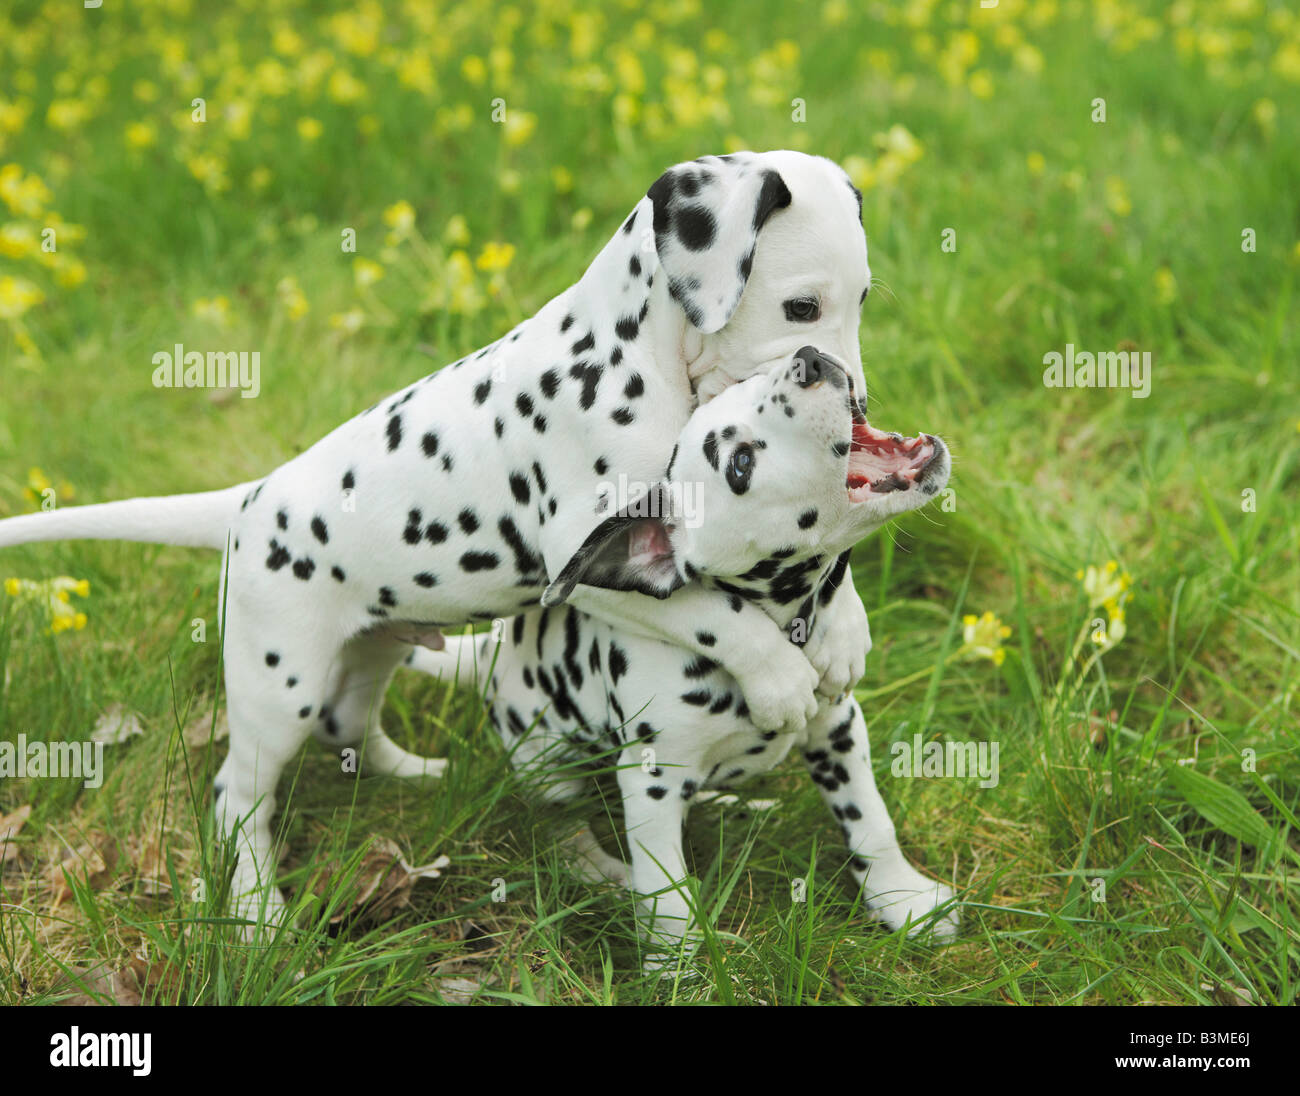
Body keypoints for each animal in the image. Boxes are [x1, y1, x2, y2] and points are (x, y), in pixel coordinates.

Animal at [0, 152, 883, 925]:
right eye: (801, 308)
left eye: (865, 299)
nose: (855, 398)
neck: (633, 361)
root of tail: (246, 501)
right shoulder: (592, 559)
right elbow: (713, 612)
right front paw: (779, 676)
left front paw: (842, 631)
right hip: (277, 686)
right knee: (237, 798)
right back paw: (257, 911)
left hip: (375, 645)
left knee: (348, 721)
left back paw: (416, 778)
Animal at [405, 345, 956, 967]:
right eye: (739, 463)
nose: (810, 358)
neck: (781, 629)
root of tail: (486, 655)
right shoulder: (651, 782)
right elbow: (664, 889)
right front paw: (678, 965)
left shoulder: (839, 730)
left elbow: (870, 821)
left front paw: (902, 899)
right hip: (545, 763)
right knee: (562, 827)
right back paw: (597, 869)